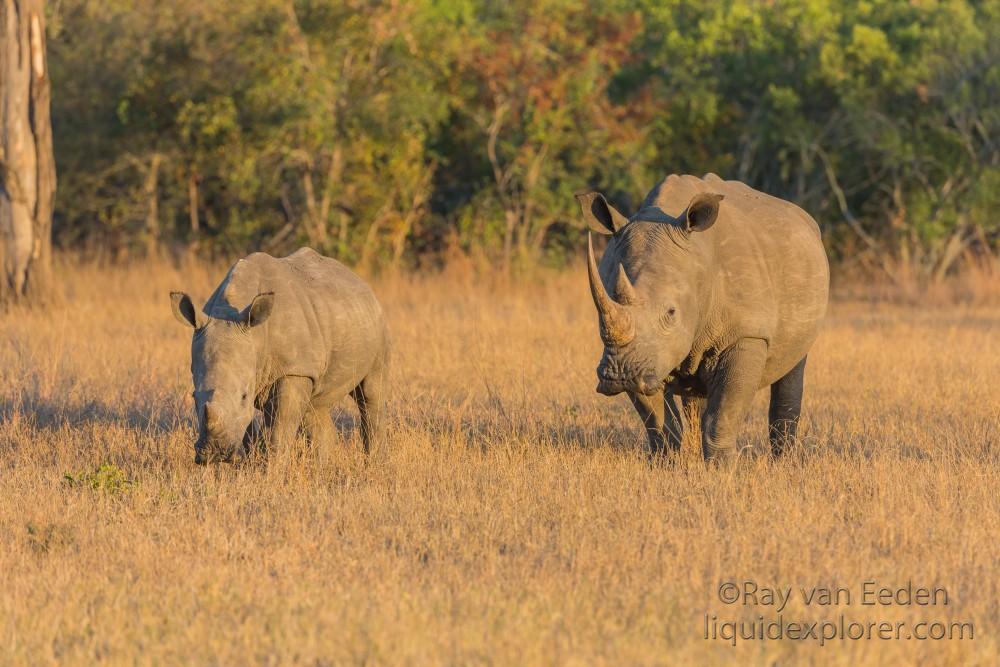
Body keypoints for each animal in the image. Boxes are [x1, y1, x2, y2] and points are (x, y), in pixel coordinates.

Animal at [170, 247, 388, 464]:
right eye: (194, 397)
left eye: (244, 396)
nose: (215, 453)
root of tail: (359, 280)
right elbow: (248, 427)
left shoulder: (293, 370)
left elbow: (279, 430)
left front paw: (272, 469)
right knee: (314, 404)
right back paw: (322, 467)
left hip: (375, 323)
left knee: (370, 393)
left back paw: (373, 462)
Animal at [580, 175, 828, 462]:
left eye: (671, 313)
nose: (619, 375)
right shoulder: (643, 356)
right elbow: (658, 419)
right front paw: (667, 462)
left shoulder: (746, 333)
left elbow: (723, 415)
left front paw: (723, 466)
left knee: (792, 366)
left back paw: (783, 461)